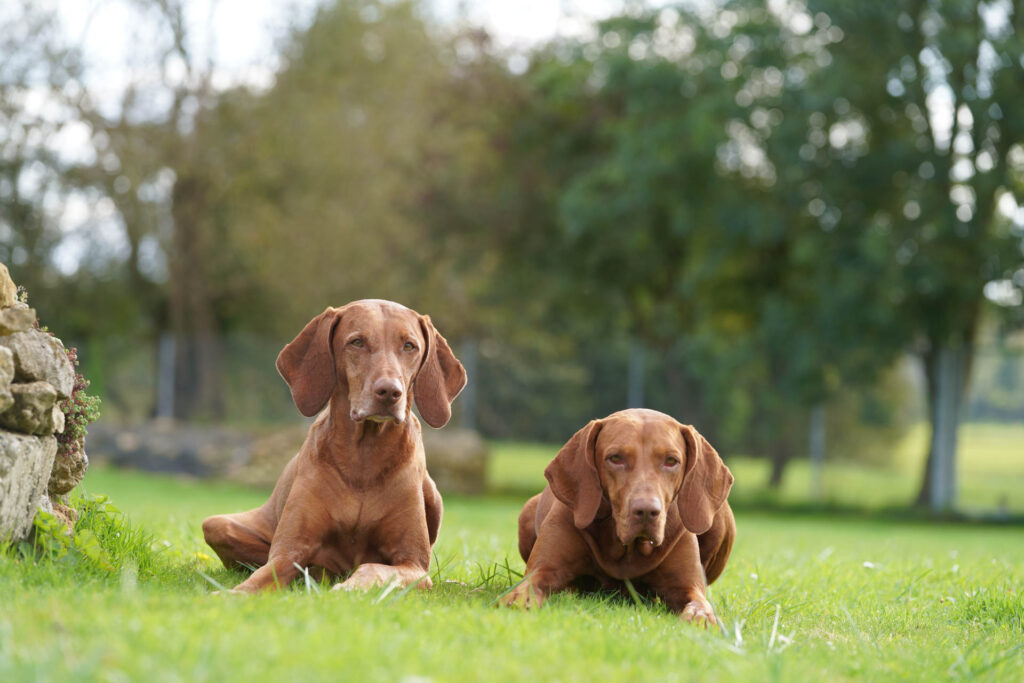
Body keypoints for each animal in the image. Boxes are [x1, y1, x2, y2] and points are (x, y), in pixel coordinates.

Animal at [201, 299, 466, 593]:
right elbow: (263, 576)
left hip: (435, 496)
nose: (390, 392)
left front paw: (349, 588)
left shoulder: (414, 565)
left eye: (409, 346)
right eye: (357, 342)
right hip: (217, 524)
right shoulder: (288, 551)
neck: (364, 457)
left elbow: (374, 568)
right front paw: (231, 595)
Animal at [499, 405, 733, 626]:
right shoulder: (544, 568)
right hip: (527, 512)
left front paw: (701, 616)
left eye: (671, 461)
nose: (647, 511)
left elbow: (700, 602)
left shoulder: (687, 586)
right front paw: (519, 600)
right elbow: (526, 587)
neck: (626, 549)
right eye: (615, 458)